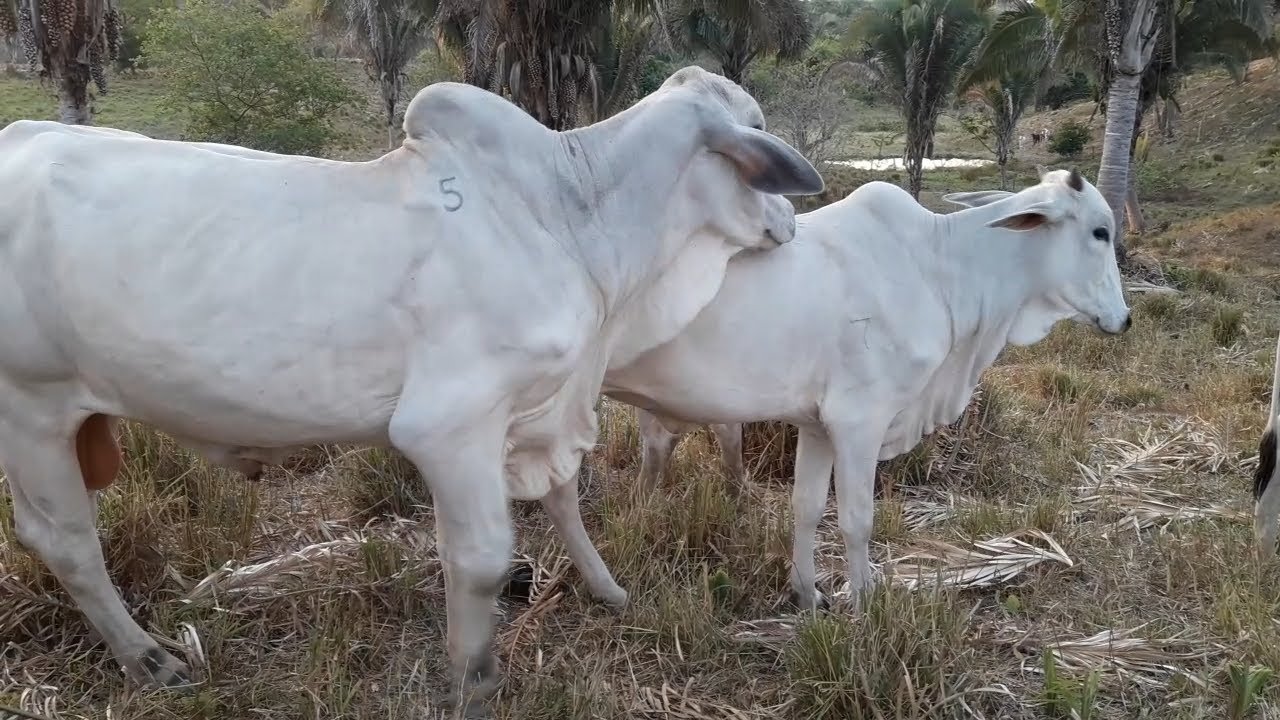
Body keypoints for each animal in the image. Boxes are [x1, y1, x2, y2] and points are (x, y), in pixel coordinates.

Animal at [599, 167, 1131, 609]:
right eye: (1100, 231)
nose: (1124, 319)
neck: (940, 268)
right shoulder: (859, 422)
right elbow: (857, 519)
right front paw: (865, 601)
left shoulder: (817, 426)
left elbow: (808, 508)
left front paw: (807, 593)